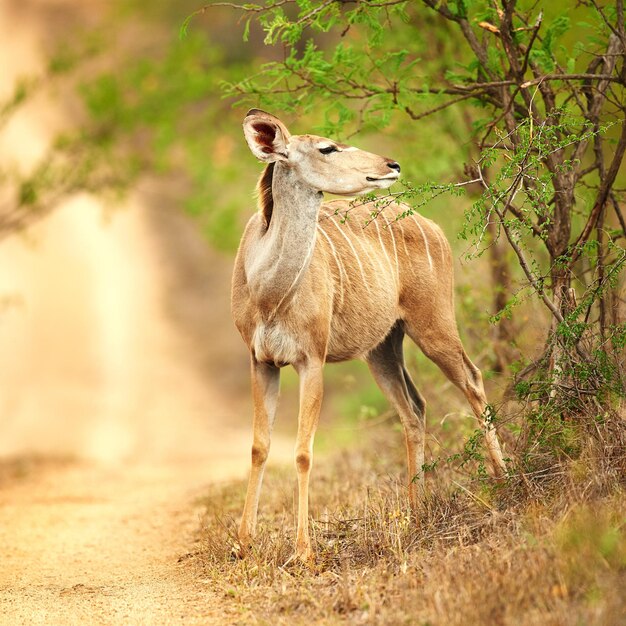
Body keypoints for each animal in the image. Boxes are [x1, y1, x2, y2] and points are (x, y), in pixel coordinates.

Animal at [232, 108, 504, 560]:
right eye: (327, 148)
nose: (391, 165)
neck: (269, 291)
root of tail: (432, 226)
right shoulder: (260, 360)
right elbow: (258, 446)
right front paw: (243, 542)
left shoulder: (312, 358)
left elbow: (303, 452)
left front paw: (303, 551)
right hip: (382, 347)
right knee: (414, 407)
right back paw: (415, 514)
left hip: (433, 324)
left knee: (473, 378)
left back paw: (504, 480)